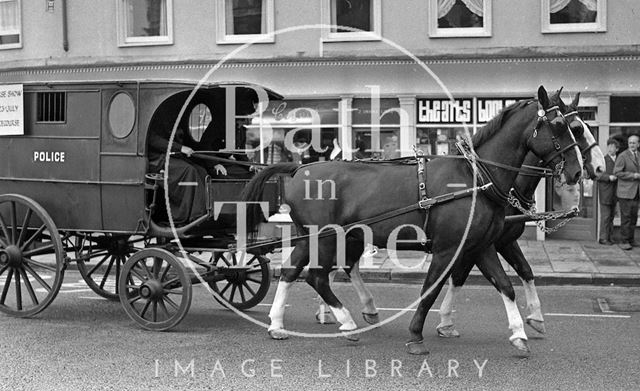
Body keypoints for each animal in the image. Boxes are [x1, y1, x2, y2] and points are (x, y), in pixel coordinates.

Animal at [238, 86, 584, 356]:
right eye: (559, 125)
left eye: (577, 127)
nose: (577, 172)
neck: (475, 177)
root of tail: (298, 169)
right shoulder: (448, 248)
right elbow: (431, 289)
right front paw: (417, 334)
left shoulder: (481, 245)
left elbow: (505, 285)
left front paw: (519, 333)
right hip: (326, 237)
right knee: (317, 277)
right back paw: (346, 322)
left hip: (317, 236)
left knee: (292, 270)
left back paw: (279, 323)